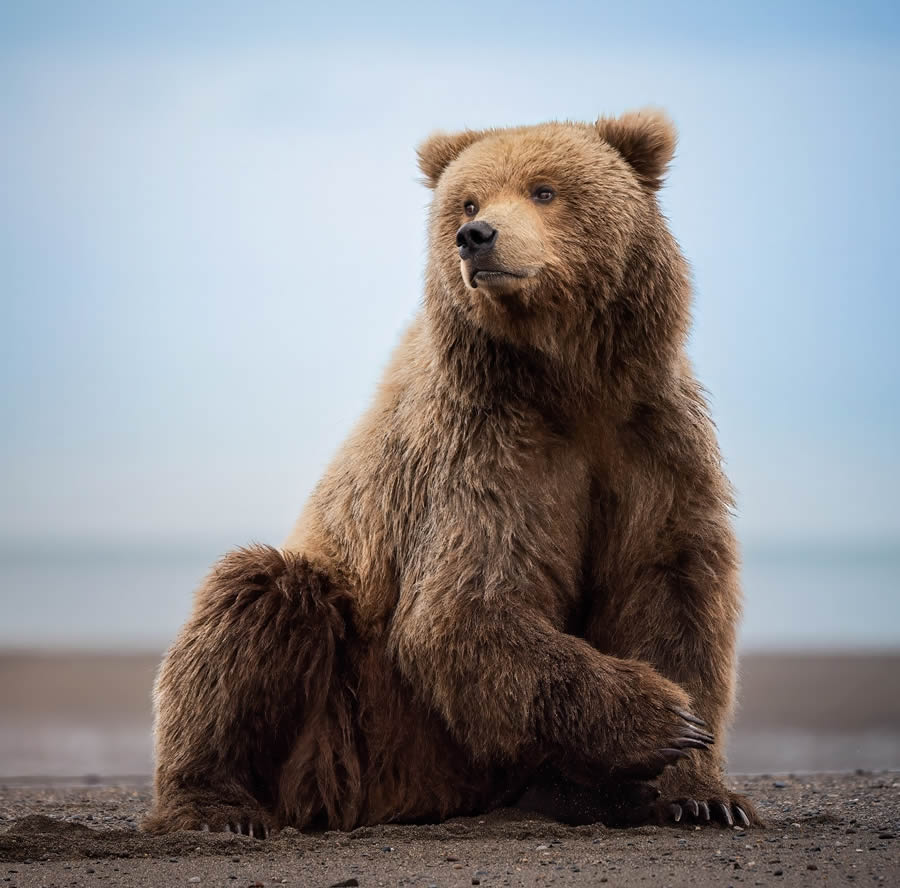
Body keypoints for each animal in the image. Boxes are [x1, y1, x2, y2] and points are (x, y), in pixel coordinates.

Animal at [144, 107, 756, 836]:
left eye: (544, 190)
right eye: (467, 200)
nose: (477, 236)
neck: (567, 383)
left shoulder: (650, 440)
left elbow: (671, 582)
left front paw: (703, 790)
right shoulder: (481, 450)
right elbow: (463, 607)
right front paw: (664, 720)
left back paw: (576, 796)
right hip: (358, 719)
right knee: (256, 602)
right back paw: (216, 805)